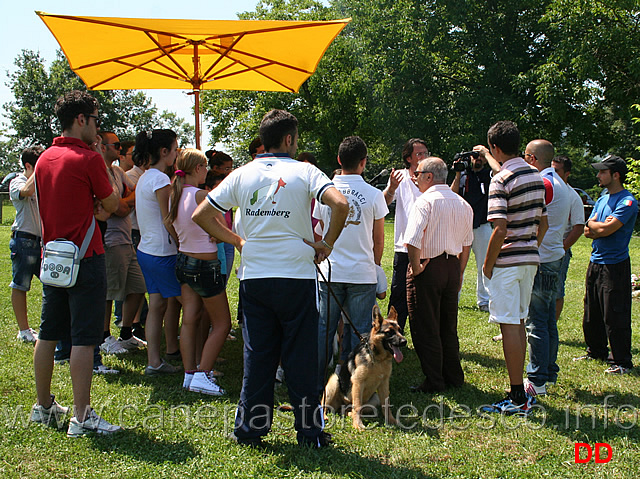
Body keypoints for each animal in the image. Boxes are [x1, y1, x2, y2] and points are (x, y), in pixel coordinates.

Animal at [322, 306, 408, 434]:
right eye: (389, 332)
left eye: (399, 330)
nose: (404, 341)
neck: (377, 359)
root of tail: (341, 405)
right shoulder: (358, 382)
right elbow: (357, 406)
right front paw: (358, 425)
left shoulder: (384, 384)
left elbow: (386, 404)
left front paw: (392, 421)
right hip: (333, 383)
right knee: (324, 405)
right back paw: (324, 416)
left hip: (374, 399)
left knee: (349, 410)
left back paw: (349, 413)